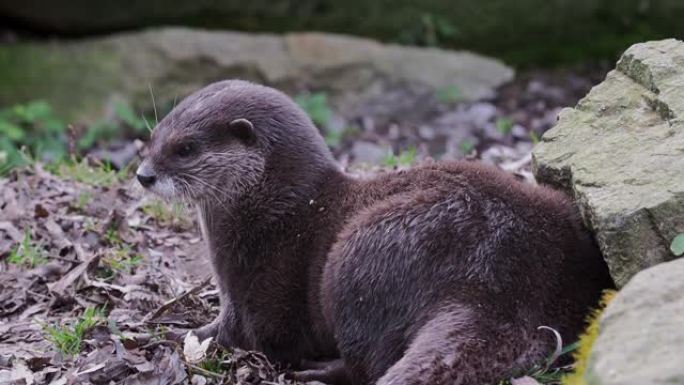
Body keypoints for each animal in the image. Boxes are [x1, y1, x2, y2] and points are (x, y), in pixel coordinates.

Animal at [138, 79, 616, 382]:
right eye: (153, 137)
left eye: (185, 148)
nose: (144, 175)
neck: (275, 211)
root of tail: (503, 282)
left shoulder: (253, 293)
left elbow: (241, 334)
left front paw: (184, 336)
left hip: (360, 256)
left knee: (367, 364)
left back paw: (318, 372)